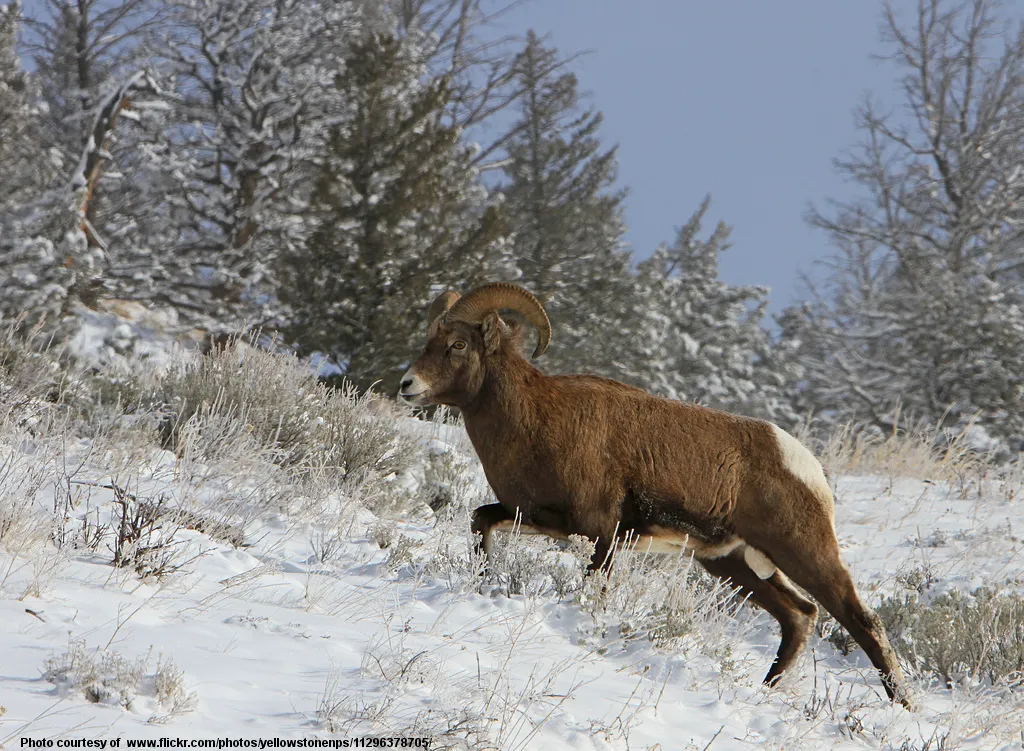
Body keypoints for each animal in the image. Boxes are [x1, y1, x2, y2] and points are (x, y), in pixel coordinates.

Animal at [397, 282, 913, 708]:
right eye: (428, 342)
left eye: (458, 345)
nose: (407, 386)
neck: (535, 419)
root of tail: (810, 469)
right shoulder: (537, 517)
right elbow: (480, 521)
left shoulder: (600, 534)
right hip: (731, 563)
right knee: (799, 616)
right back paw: (765, 690)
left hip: (804, 553)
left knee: (861, 621)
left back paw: (901, 704)